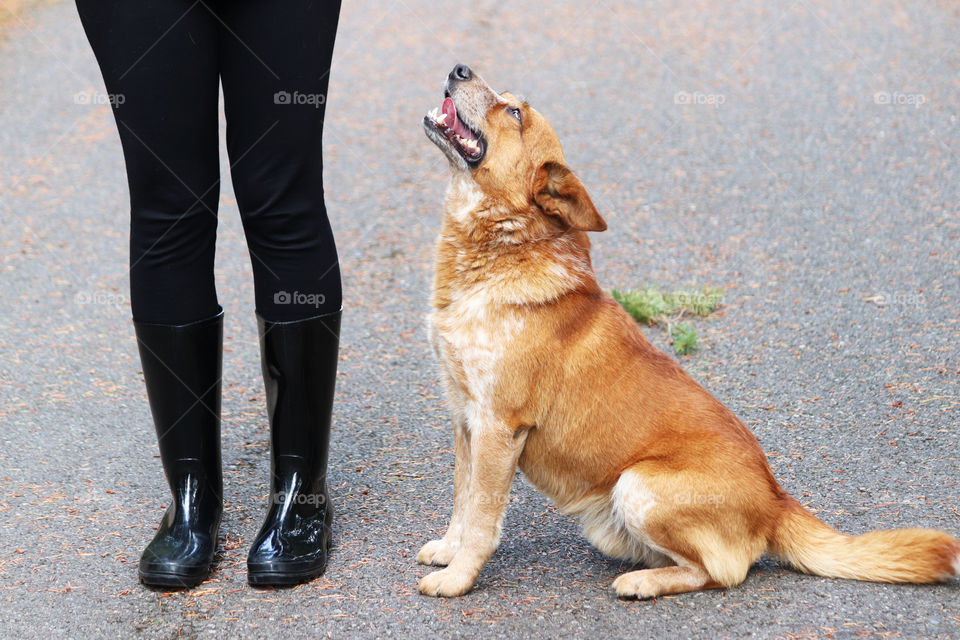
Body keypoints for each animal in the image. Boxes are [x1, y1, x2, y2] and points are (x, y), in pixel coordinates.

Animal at [414, 62, 960, 596]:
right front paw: (448, 551)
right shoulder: (465, 420)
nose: (459, 68)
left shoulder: (499, 426)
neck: (502, 248)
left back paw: (642, 582)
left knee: (722, 571)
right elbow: (463, 501)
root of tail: (777, 501)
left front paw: (458, 579)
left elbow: (482, 518)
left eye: (514, 113)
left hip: (637, 485)